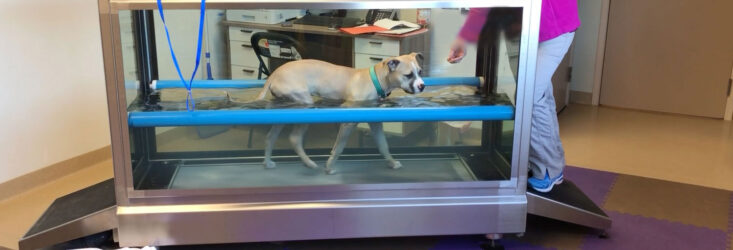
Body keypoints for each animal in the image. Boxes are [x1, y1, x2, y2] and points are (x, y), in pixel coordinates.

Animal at [256, 52, 424, 174]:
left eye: (420, 72)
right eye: (409, 75)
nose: (422, 86)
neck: (375, 79)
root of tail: (275, 73)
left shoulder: (375, 122)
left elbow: (383, 145)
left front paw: (392, 163)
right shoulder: (348, 123)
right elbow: (339, 147)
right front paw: (330, 166)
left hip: (284, 110)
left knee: (271, 137)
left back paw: (267, 162)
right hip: (304, 104)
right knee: (295, 138)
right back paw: (309, 163)